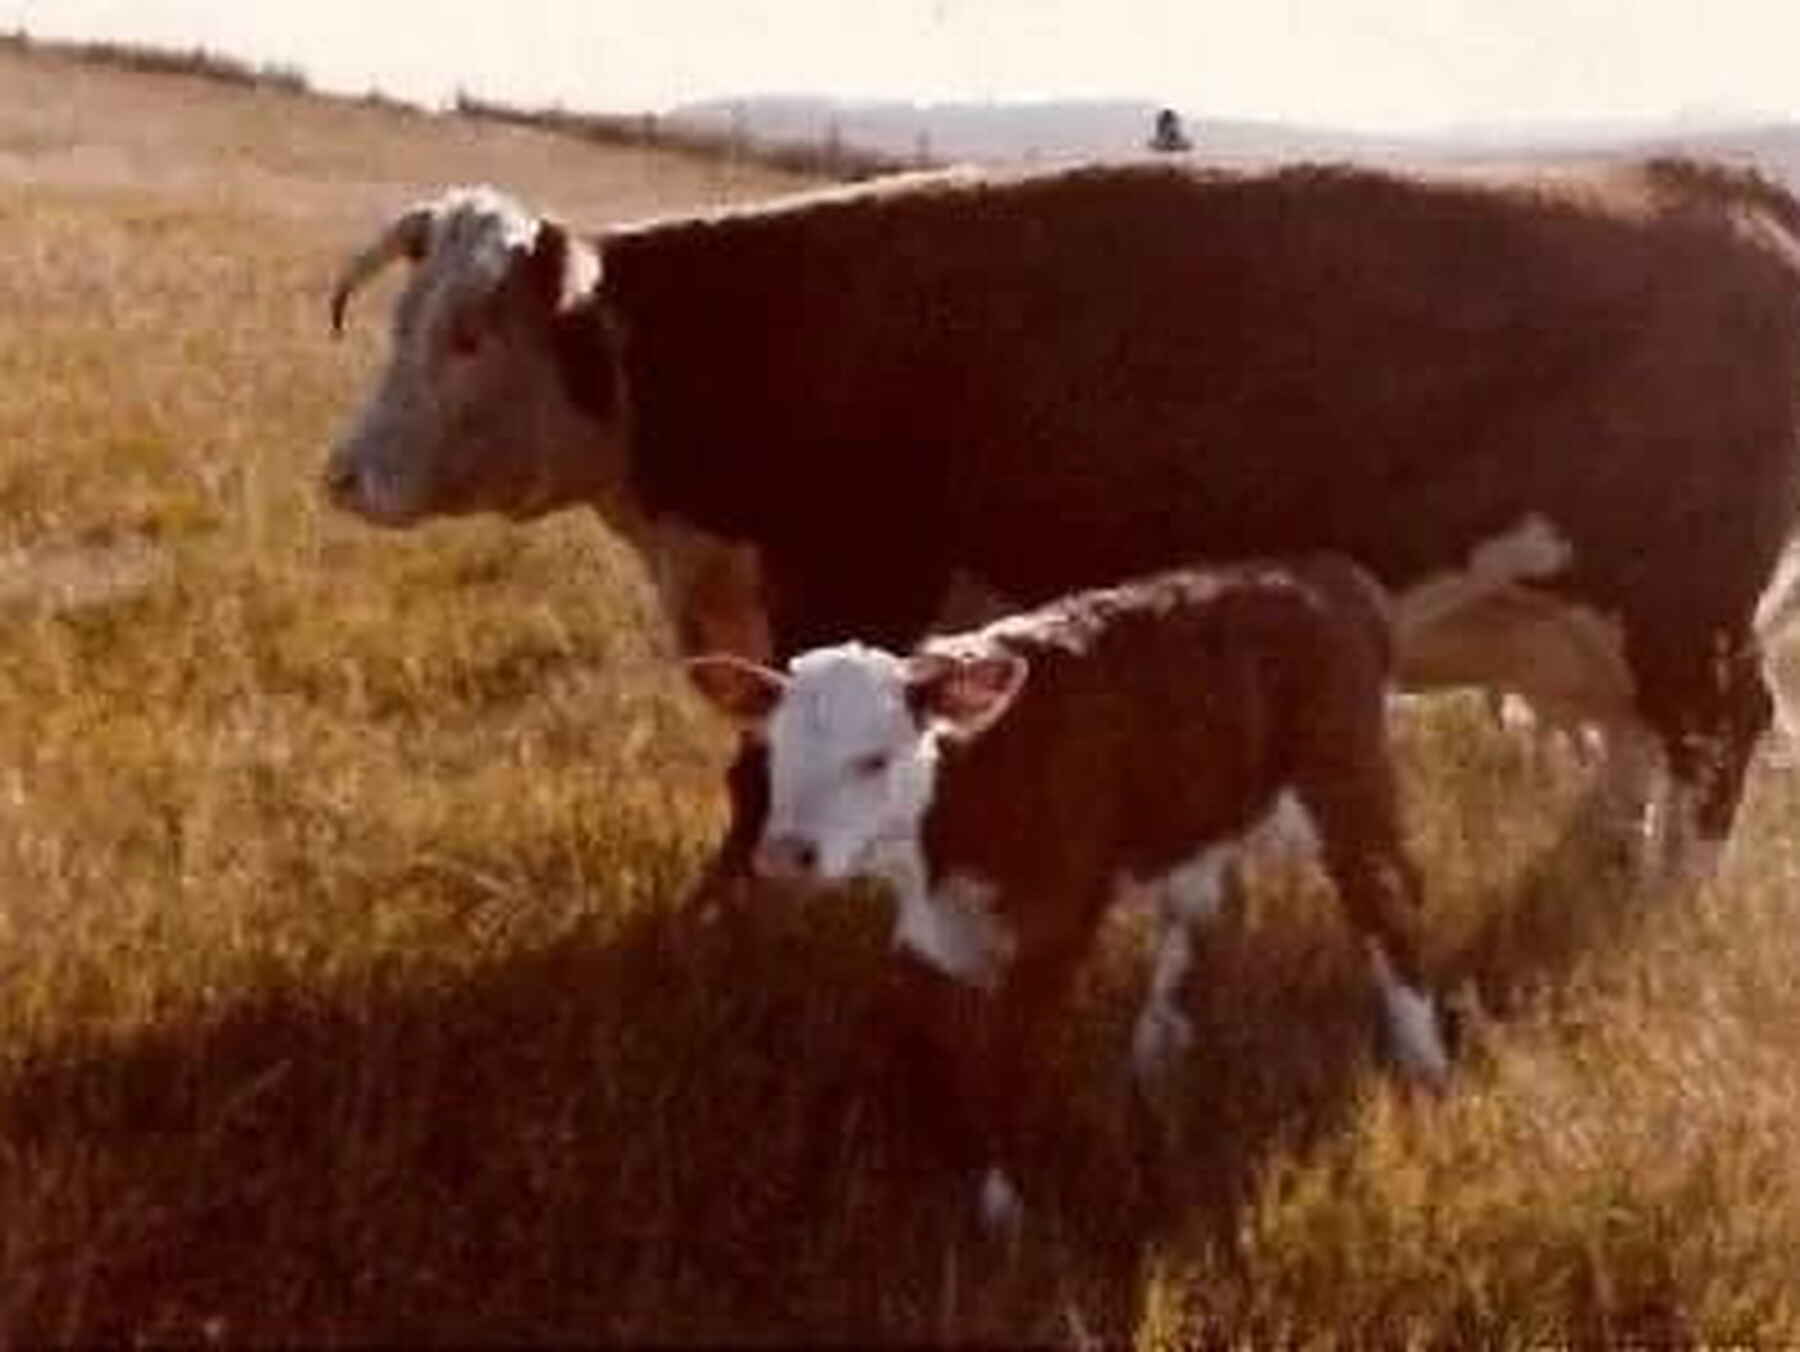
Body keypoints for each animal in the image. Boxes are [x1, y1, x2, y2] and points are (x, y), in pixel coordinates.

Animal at [324, 157, 1800, 895]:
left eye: (470, 333)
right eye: (403, 318)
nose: (343, 477)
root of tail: (1719, 187)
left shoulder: (846, 583)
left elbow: (766, 771)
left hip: (1684, 614)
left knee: (1724, 736)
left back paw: (1668, 908)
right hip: (1597, 624)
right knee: (1643, 742)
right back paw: (1606, 865)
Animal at [681, 532, 1563, 1228]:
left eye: (875, 758)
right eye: (777, 750)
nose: (787, 852)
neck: (963, 794)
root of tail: (1330, 572)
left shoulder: (1056, 918)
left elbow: (1009, 1060)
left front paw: (1003, 1210)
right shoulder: (930, 931)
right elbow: (926, 1043)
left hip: (1345, 780)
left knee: (1387, 899)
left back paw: (1424, 1063)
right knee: (1201, 908)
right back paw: (1158, 1052)